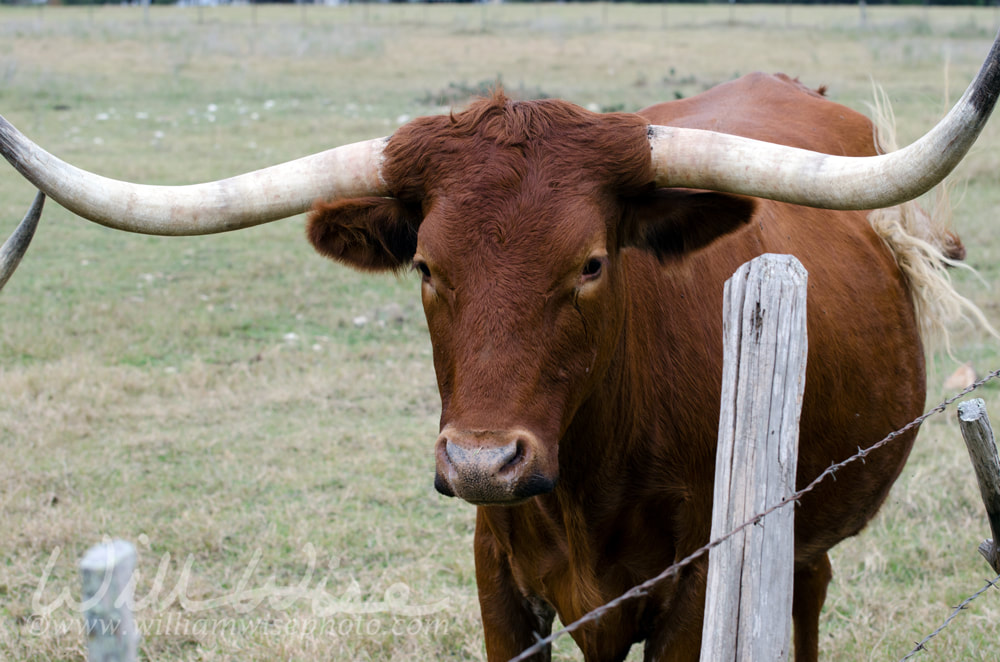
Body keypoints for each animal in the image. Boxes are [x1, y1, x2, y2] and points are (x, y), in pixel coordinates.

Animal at [5, 31, 1000, 662]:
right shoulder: (500, 585)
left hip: (802, 535)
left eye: (592, 263)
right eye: (426, 266)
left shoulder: (692, 590)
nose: (483, 462)